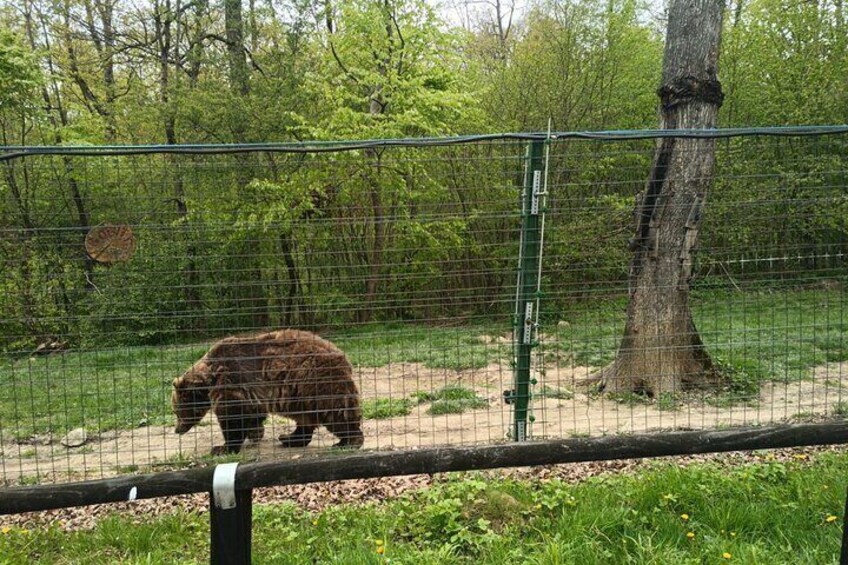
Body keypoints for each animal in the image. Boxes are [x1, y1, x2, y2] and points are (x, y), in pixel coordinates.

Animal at [172, 330, 364, 454]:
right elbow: (253, 412)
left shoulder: (232, 380)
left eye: (176, 411)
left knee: (336, 412)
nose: (177, 429)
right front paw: (255, 433)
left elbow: (232, 415)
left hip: (317, 382)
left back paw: (347, 442)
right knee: (305, 418)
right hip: (300, 395)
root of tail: (342, 355)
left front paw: (222, 448)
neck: (209, 379)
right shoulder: (251, 391)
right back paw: (288, 438)